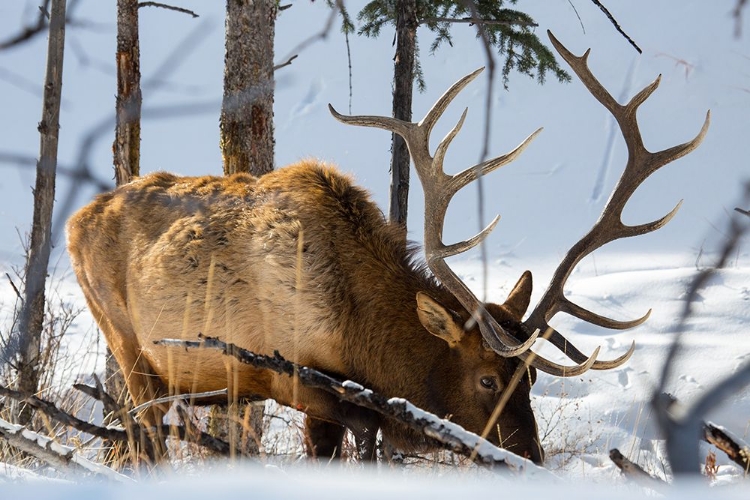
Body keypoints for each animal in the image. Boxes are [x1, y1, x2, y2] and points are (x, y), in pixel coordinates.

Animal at [66, 33, 712, 464]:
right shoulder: (304, 385)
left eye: (529, 377)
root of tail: (75, 220)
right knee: (143, 438)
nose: (530, 457)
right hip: (126, 340)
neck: (359, 332)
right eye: (486, 379)